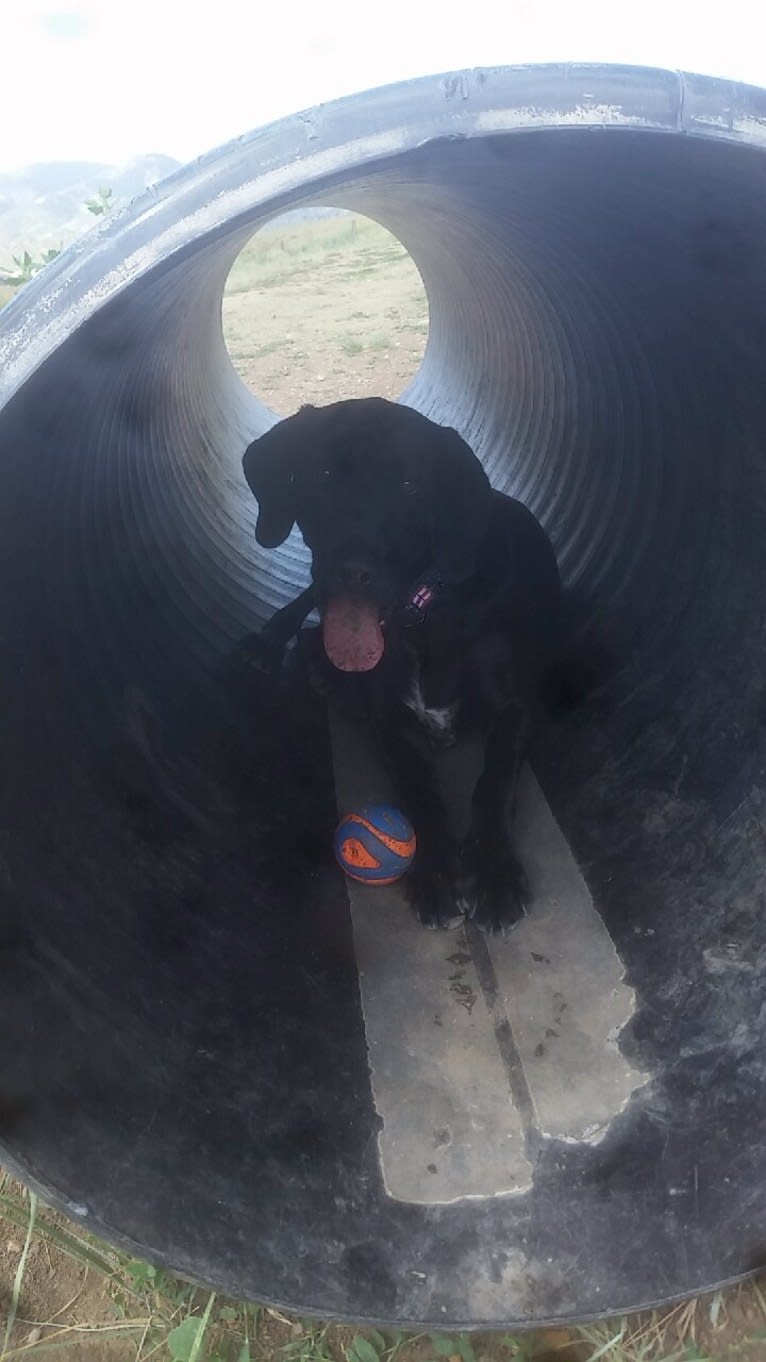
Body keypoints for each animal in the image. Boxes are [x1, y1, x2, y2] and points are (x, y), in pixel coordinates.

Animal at [239, 397, 561, 931]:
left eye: (410, 485)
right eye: (323, 473)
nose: (353, 570)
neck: (424, 617)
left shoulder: (518, 707)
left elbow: (493, 782)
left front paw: (493, 873)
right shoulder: (389, 720)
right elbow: (419, 790)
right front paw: (435, 874)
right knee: (306, 611)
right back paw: (276, 647)